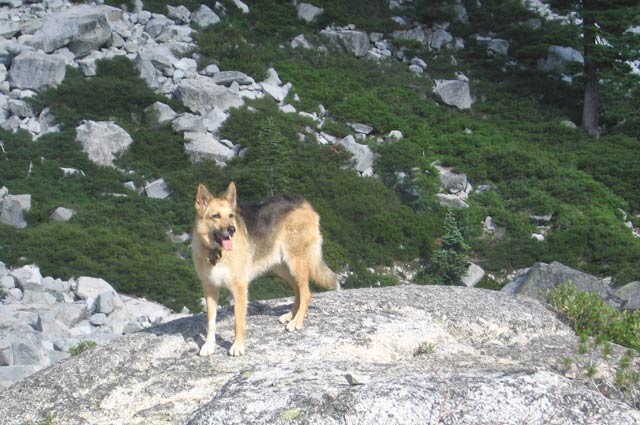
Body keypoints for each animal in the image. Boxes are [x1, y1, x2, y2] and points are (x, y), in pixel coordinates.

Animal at [191, 181, 338, 356]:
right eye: (216, 216)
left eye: (231, 216)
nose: (232, 230)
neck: (216, 251)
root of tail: (304, 201)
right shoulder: (210, 289)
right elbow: (211, 322)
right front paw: (209, 345)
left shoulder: (239, 288)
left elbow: (238, 322)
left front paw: (238, 346)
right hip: (282, 267)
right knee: (298, 291)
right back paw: (291, 315)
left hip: (296, 263)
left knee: (306, 293)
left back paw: (297, 321)